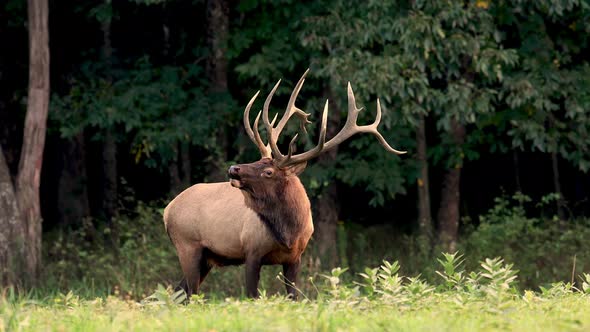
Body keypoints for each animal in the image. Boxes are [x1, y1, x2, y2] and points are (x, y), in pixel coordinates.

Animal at [166, 69, 408, 298]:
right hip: (188, 245)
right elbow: (252, 296)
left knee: (180, 291)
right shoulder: (251, 250)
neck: (289, 233)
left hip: (206, 257)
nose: (233, 168)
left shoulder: (295, 257)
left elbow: (294, 297)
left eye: (268, 171)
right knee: (190, 294)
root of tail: (168, 210)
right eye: (258, 160)